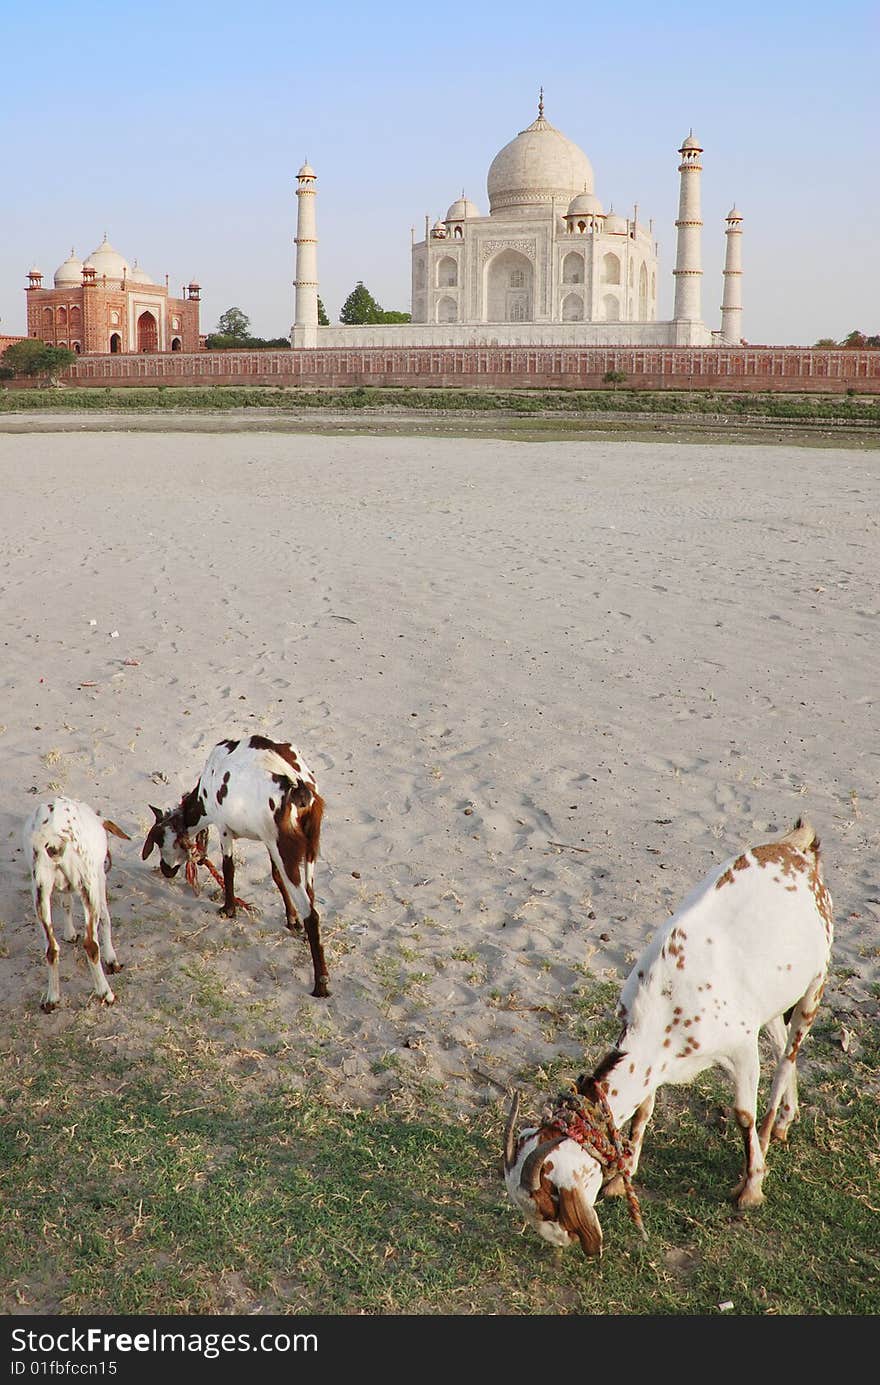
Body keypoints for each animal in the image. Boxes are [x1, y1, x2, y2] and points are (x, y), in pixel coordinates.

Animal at [23, 797, 130, 1013]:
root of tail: (54, 838)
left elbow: (67, 903)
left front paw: (70, 933)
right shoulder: (99, 878)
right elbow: (106, 918)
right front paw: (112, 959)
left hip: (40, 891)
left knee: (51, 949)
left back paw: (52, 999)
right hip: (89, 885)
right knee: (91, 944)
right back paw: (106, 993)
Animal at [142, 736, 328, 997]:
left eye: (159, 839)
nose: (165, 869)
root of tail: (298, 788)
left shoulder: (224, 828)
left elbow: (228, 867)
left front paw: (228, 909)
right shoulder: (268, 841)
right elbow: (276, 877)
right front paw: (291, 920)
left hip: (284, 849)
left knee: (312, 913)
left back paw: (320, 984)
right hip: (308, 848)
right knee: (310, 895)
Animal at [507, 814, 837, 1263]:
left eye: (551, 1203)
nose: (566, 1242)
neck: (667, 1001)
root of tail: (798, 847)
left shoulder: (740, 1046)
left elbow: (743, 1114)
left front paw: (751, 1187)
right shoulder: (653, 1058)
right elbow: (643, 1108)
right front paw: (620, 1178)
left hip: (815, 981)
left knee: (789, 1053)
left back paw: (771, 1134)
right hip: (771, 1001)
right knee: (781, 1040)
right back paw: (786, 1120)